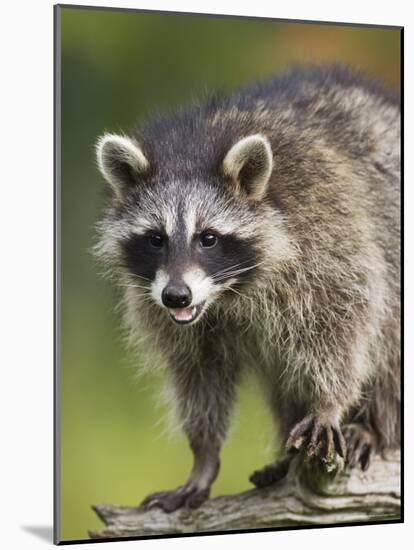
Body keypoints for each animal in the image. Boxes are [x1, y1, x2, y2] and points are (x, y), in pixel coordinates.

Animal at [94, 67, 402, 516]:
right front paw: (203, 455)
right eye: (155, 239)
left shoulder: (327, 235)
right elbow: (198, 375)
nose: (177, 296)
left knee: (388, 347)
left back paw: (376, 428)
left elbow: (347, 320)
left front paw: (328, 403)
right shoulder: (163, 306)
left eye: (208, 238)